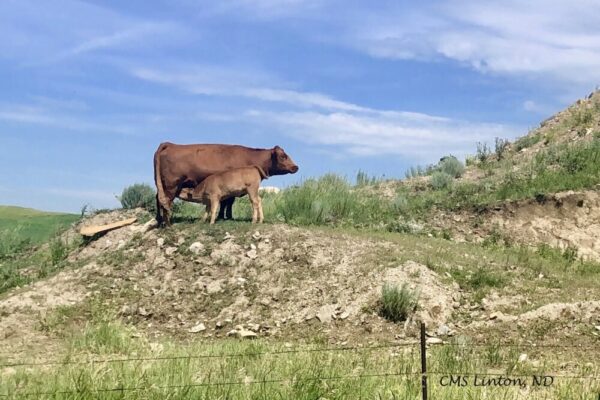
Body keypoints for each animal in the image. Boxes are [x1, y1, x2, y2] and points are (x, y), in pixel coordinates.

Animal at [152, 143, 298, 225]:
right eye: (283, 156)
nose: (295, 167)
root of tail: (171, 144)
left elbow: (225, 202)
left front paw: (224, 216)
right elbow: (227, 202)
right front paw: (225, 216)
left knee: (158, 198)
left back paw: (159, 220)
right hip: (171, 185)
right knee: (165, 201)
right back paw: (167, 222)